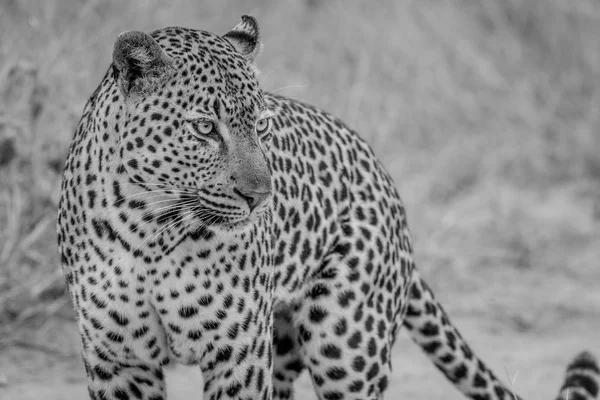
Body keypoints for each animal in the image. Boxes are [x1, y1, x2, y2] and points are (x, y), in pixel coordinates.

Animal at [57, 15, 600, 400]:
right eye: (205, 128)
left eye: (263, 127)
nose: (260, 197)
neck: (151, 227)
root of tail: (383, 177)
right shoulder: (116, 358)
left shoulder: (237, 353)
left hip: (345, 344)